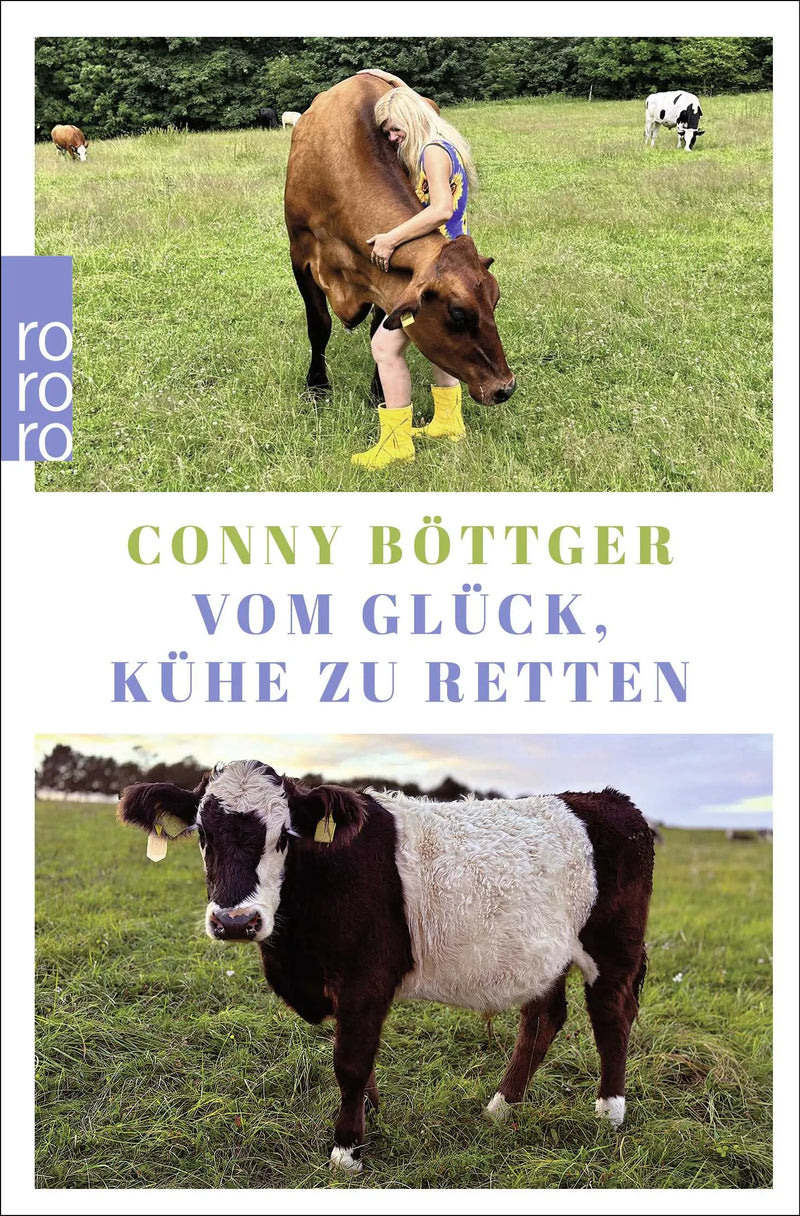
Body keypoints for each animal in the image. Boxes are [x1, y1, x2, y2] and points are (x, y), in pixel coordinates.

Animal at [118, 763, 653, 1173]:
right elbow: (362, 1060)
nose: (235, 921)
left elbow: (351, 1062)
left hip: (613, 947)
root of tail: (609, 800)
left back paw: (609, 1111)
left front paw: (347, 1149)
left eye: (284, 837)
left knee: (611, 1015)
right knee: (543, 1019)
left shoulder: (364, 981)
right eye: (203, 835)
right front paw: (369, 1118)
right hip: (542, 957)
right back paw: (502, 1106)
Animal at [284, 74, 515, 407]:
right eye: (458, 314)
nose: (505, 387)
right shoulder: (300, 253)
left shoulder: (385, 275)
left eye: (494, 301)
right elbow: (319, 324)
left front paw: (378, 390)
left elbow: (376, 328)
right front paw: (317, 386)